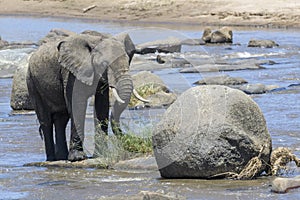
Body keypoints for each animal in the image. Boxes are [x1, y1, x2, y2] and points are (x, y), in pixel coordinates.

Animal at [26, 33, 139, 162]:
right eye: (104, 65)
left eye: (128, 61)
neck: (95, 41)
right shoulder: (70, 73)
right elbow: (77, 104)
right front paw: (77, 158)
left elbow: (102, 105)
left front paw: (101, 155)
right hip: (32, 83)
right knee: (46, 121)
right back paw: (52, 159)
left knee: (61, 119)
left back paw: (61, 157)